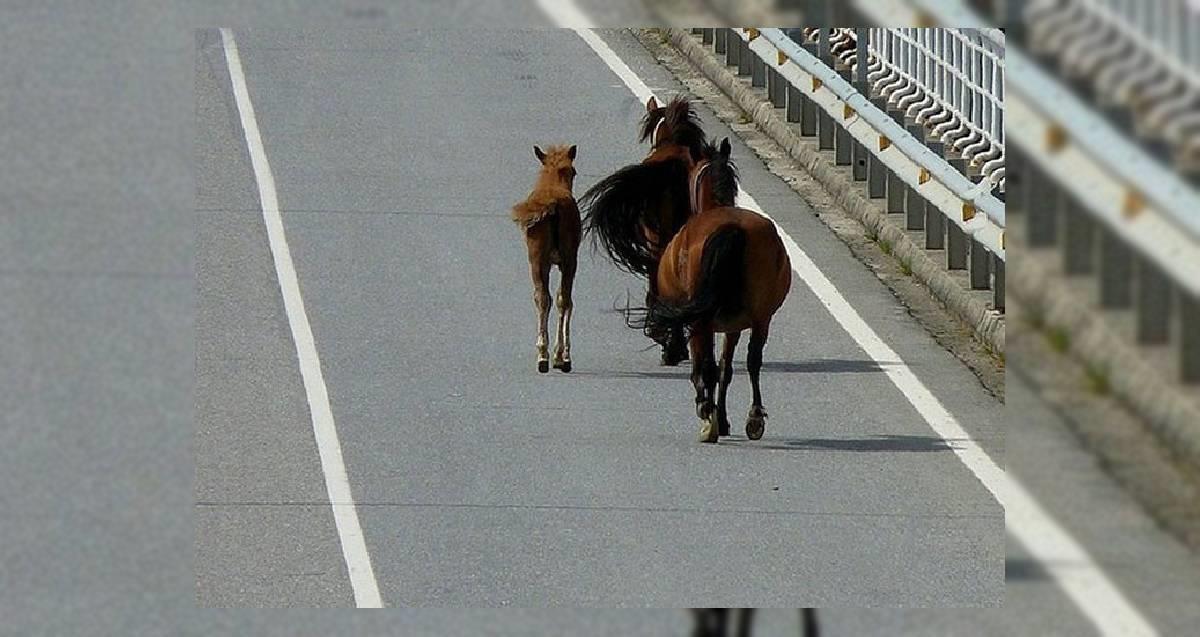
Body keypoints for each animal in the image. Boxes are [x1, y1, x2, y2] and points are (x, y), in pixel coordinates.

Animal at [511, 144, 580, 374]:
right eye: (573, 171)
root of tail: (553, 204)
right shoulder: (568, 261)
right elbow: (564, 299)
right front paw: (560, 356)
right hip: (567, 260)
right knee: (562, 299)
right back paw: (561, 357)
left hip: (537, 260)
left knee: (543, 298)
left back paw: (543, 356)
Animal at [633, 138, 792, 443]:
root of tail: (731, 228)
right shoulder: (734, 326)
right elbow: (726, 368)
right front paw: (725, 418)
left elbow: (708, 367)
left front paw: (712, 414)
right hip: (760, 318)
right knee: (752, 360)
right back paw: (754, 417)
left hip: (701, 321)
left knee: (704, 368)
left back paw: (707, 416)